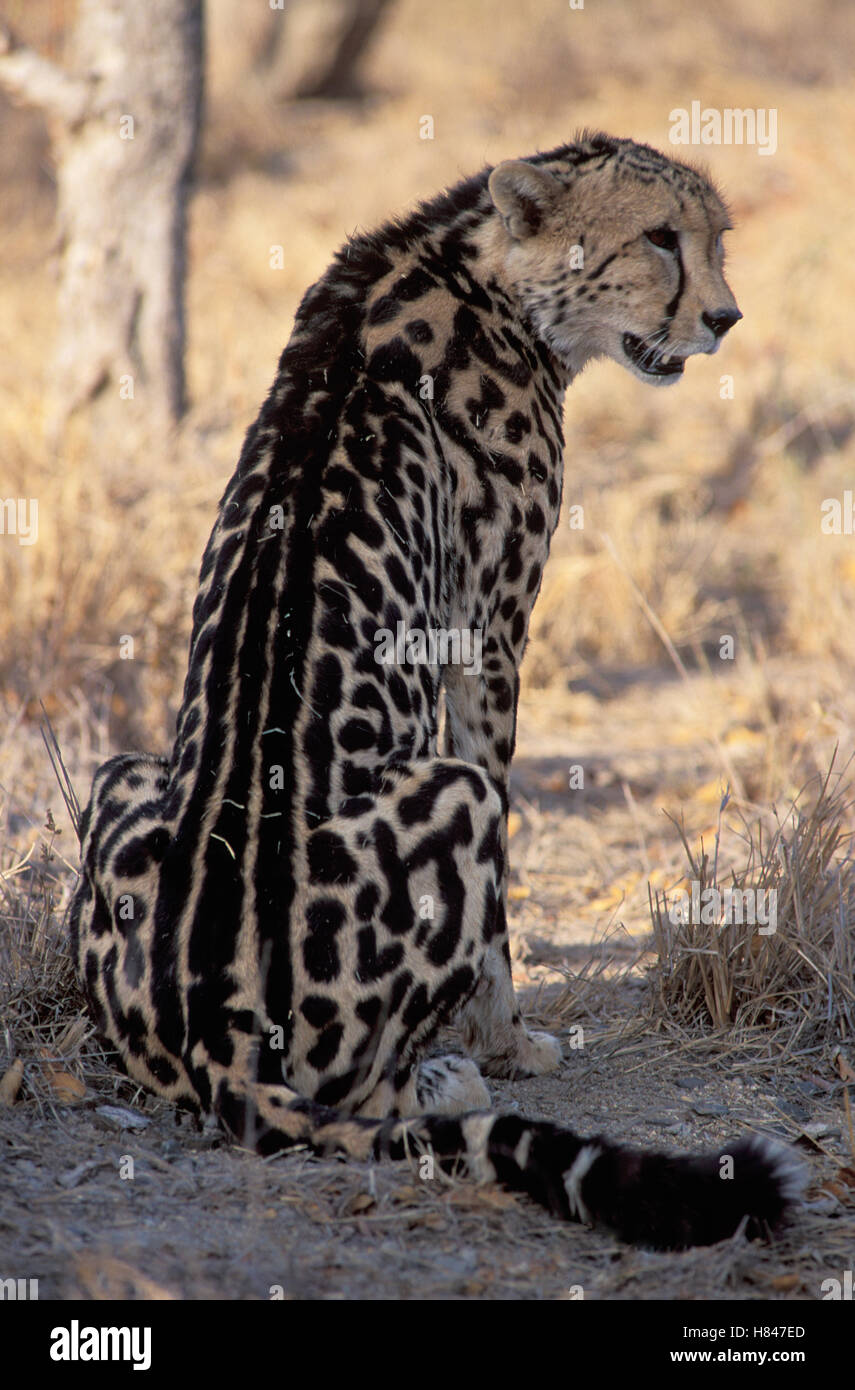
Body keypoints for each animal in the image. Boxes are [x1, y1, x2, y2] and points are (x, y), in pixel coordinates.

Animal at [69, 132, 804, 1249]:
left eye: (715, 238)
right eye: (658, 238)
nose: (723, 319)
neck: (474, 261)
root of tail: (218, 1042)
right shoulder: (488, 640)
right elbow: (503, 881)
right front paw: (509, 1040)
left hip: (124, 775)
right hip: (443, 800)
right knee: (362, 1096)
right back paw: (449, 1080)